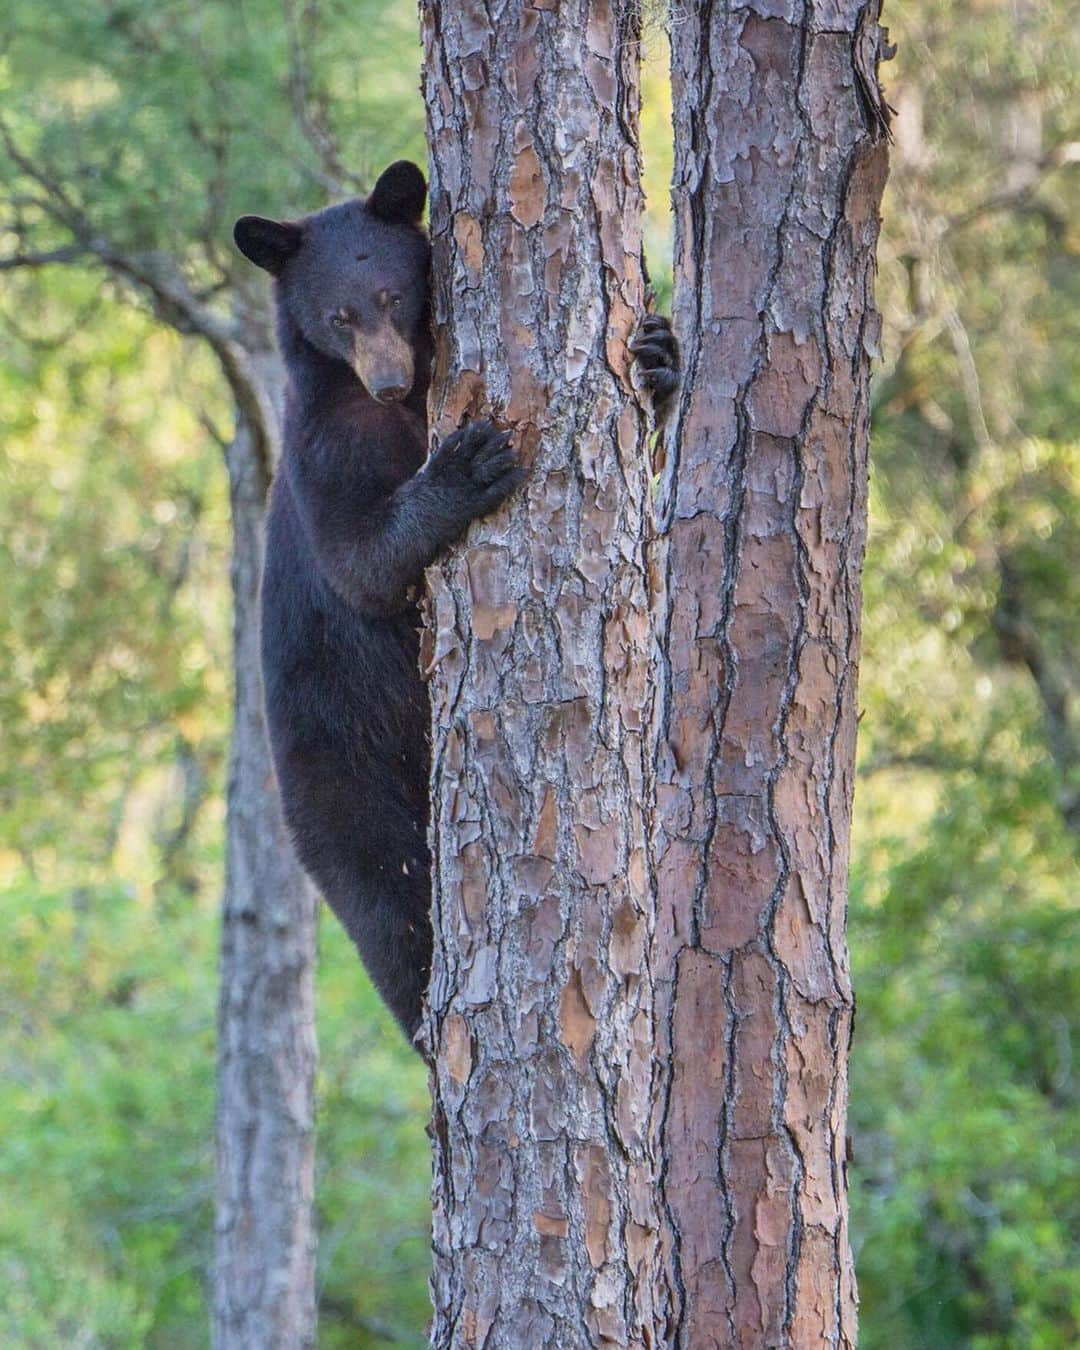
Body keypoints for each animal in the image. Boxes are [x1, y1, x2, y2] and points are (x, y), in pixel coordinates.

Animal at [233, 163, 675, 1047]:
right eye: (338, 314)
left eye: (393, 293)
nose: (390, 380)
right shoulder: (321, 442)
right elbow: (360, 559)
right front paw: (468, 466)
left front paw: (659, 357)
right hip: (347, 783)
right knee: (391, 908)